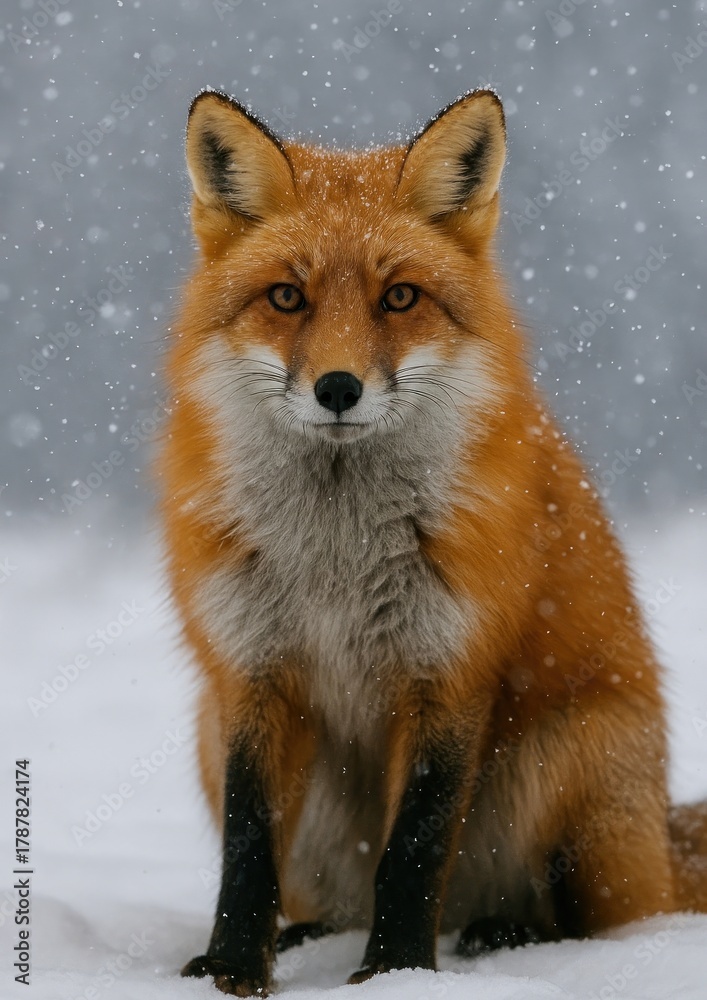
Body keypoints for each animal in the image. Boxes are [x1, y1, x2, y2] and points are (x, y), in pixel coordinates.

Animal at [159, 88, 707, 996]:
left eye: (400, 298)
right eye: (286, 298)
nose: (336, 388)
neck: (337, 557)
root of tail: (662, 842)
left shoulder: (447, 670)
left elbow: (411, 852)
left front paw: (396, 971)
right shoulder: (250, 673)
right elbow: (247, 849)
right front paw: (231, 970)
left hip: (565, 759)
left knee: (599, 921)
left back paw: (501, 938)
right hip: (210, 732)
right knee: (325, 896)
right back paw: (312, 937)